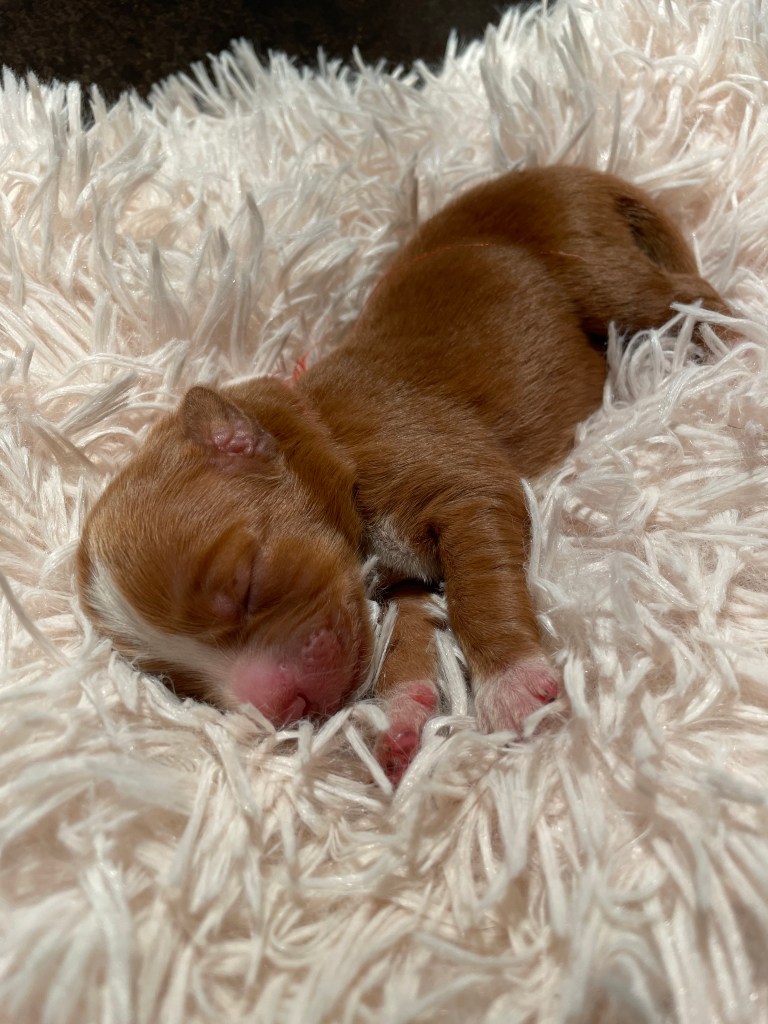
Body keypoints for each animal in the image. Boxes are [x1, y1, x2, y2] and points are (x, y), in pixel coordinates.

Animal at [77, 165, 728, 782]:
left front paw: (512, 687)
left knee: (685, 294)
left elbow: (477, 588)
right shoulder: (399, 585)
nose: (282, 709)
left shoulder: (462, 483)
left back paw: (726, 354)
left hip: (595, 268)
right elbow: (405, 634)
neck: (326, 432)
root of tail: (566, 173)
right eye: (180, 685)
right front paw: (399, 719)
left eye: (247, 585)